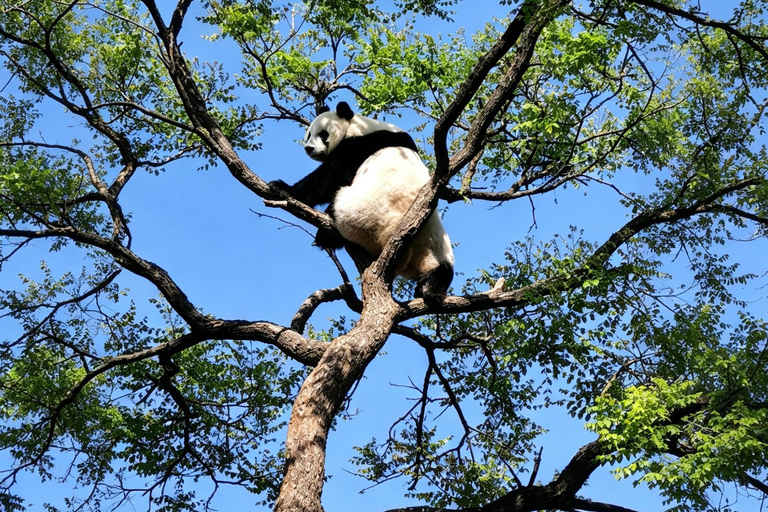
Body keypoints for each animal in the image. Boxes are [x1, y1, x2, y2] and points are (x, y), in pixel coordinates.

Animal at [270, 101, 454, 303]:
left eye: (322, 134)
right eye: (309, 134)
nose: (309, 148)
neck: (358, 126)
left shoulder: (357, 148)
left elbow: (329, 178)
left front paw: (283, 188)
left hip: (358, 213)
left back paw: (324, 236)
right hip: (431, 245)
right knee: (443, 268)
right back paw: (430, 288)